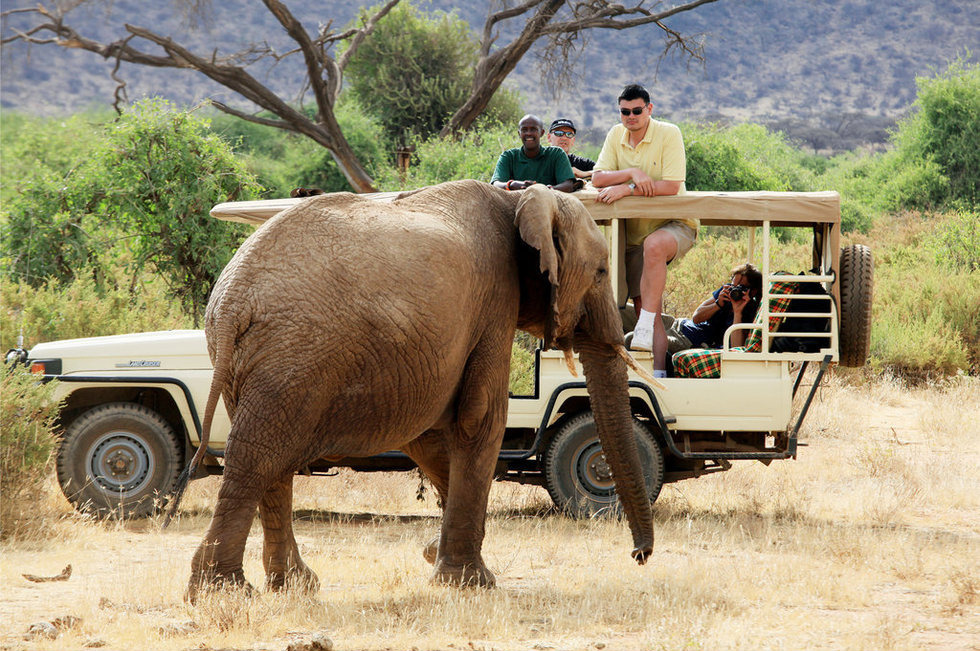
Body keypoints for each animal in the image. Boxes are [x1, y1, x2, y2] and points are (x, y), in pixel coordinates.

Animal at [177, 178, 660, 600]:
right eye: (601, 271)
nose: (640, 555)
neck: (519, 200)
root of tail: (231, 302)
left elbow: (430, 436)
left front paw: (434, 554)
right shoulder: (494, 303)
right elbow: (480, 419)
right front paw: (470, 583)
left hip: (255, 363)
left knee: (269, 460)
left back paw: (293, 586)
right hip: (293, 355)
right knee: (258, 458)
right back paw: (223, 591)